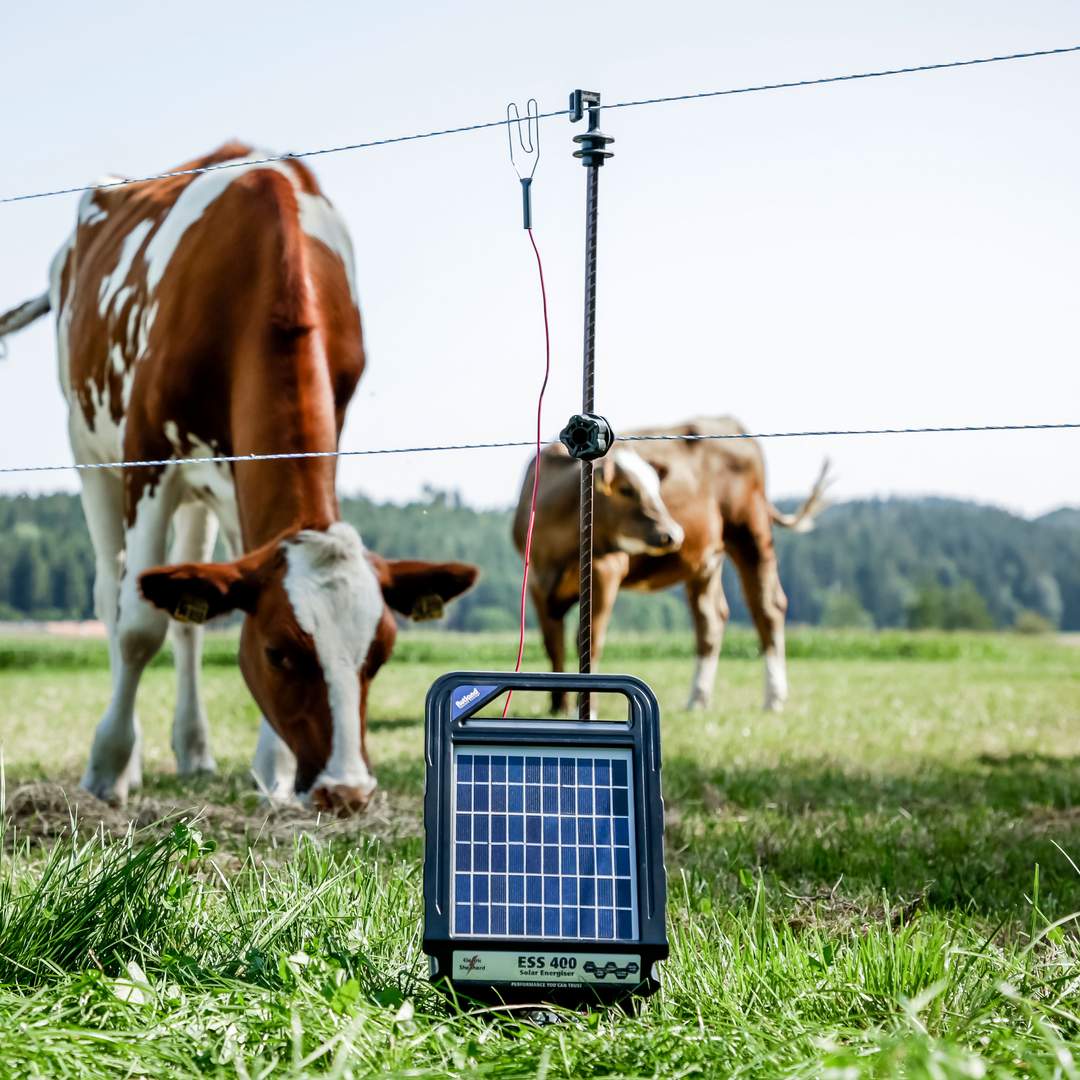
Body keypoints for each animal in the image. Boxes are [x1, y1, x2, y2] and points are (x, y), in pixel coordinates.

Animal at [0, 142, 477, 814]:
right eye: (278, 651)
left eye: (380, 655)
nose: (346, 790)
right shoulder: (146, 458)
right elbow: (138, 627)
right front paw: (109, 768)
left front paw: (272, 772)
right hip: (90, 451)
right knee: (113, 595)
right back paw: (130, 758)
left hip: (208, 495)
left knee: (186, 615)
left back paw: (195, 751)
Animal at [512, 418, 830, 714]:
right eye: (626, 489)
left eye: (656, 488)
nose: (673, 533)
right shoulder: (537, 584)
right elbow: (553, 644)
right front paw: (558, 706)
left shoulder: (605, 570)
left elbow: (588, 640)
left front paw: (588, 706)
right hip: (705, 560)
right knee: (711, 619)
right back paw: (697, 699)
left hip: (751, 533)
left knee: (767, 607)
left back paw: (774, 698)